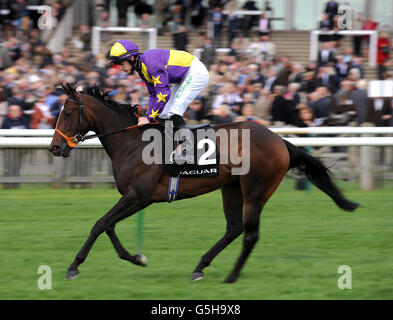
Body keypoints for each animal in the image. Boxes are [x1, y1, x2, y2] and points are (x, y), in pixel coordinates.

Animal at [47, 84, 356, 282]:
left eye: (67, 113)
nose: (54, 148)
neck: (132, 142)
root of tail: (280, 140)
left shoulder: (139, 196)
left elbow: (99, 224)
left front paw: (74, 266)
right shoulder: (135, 198)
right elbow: (108, 226)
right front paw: (137, 258)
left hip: (256, 190)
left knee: (250, 234)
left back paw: (231, 276)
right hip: (231, 187)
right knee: (234, 228)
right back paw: (200, 266)